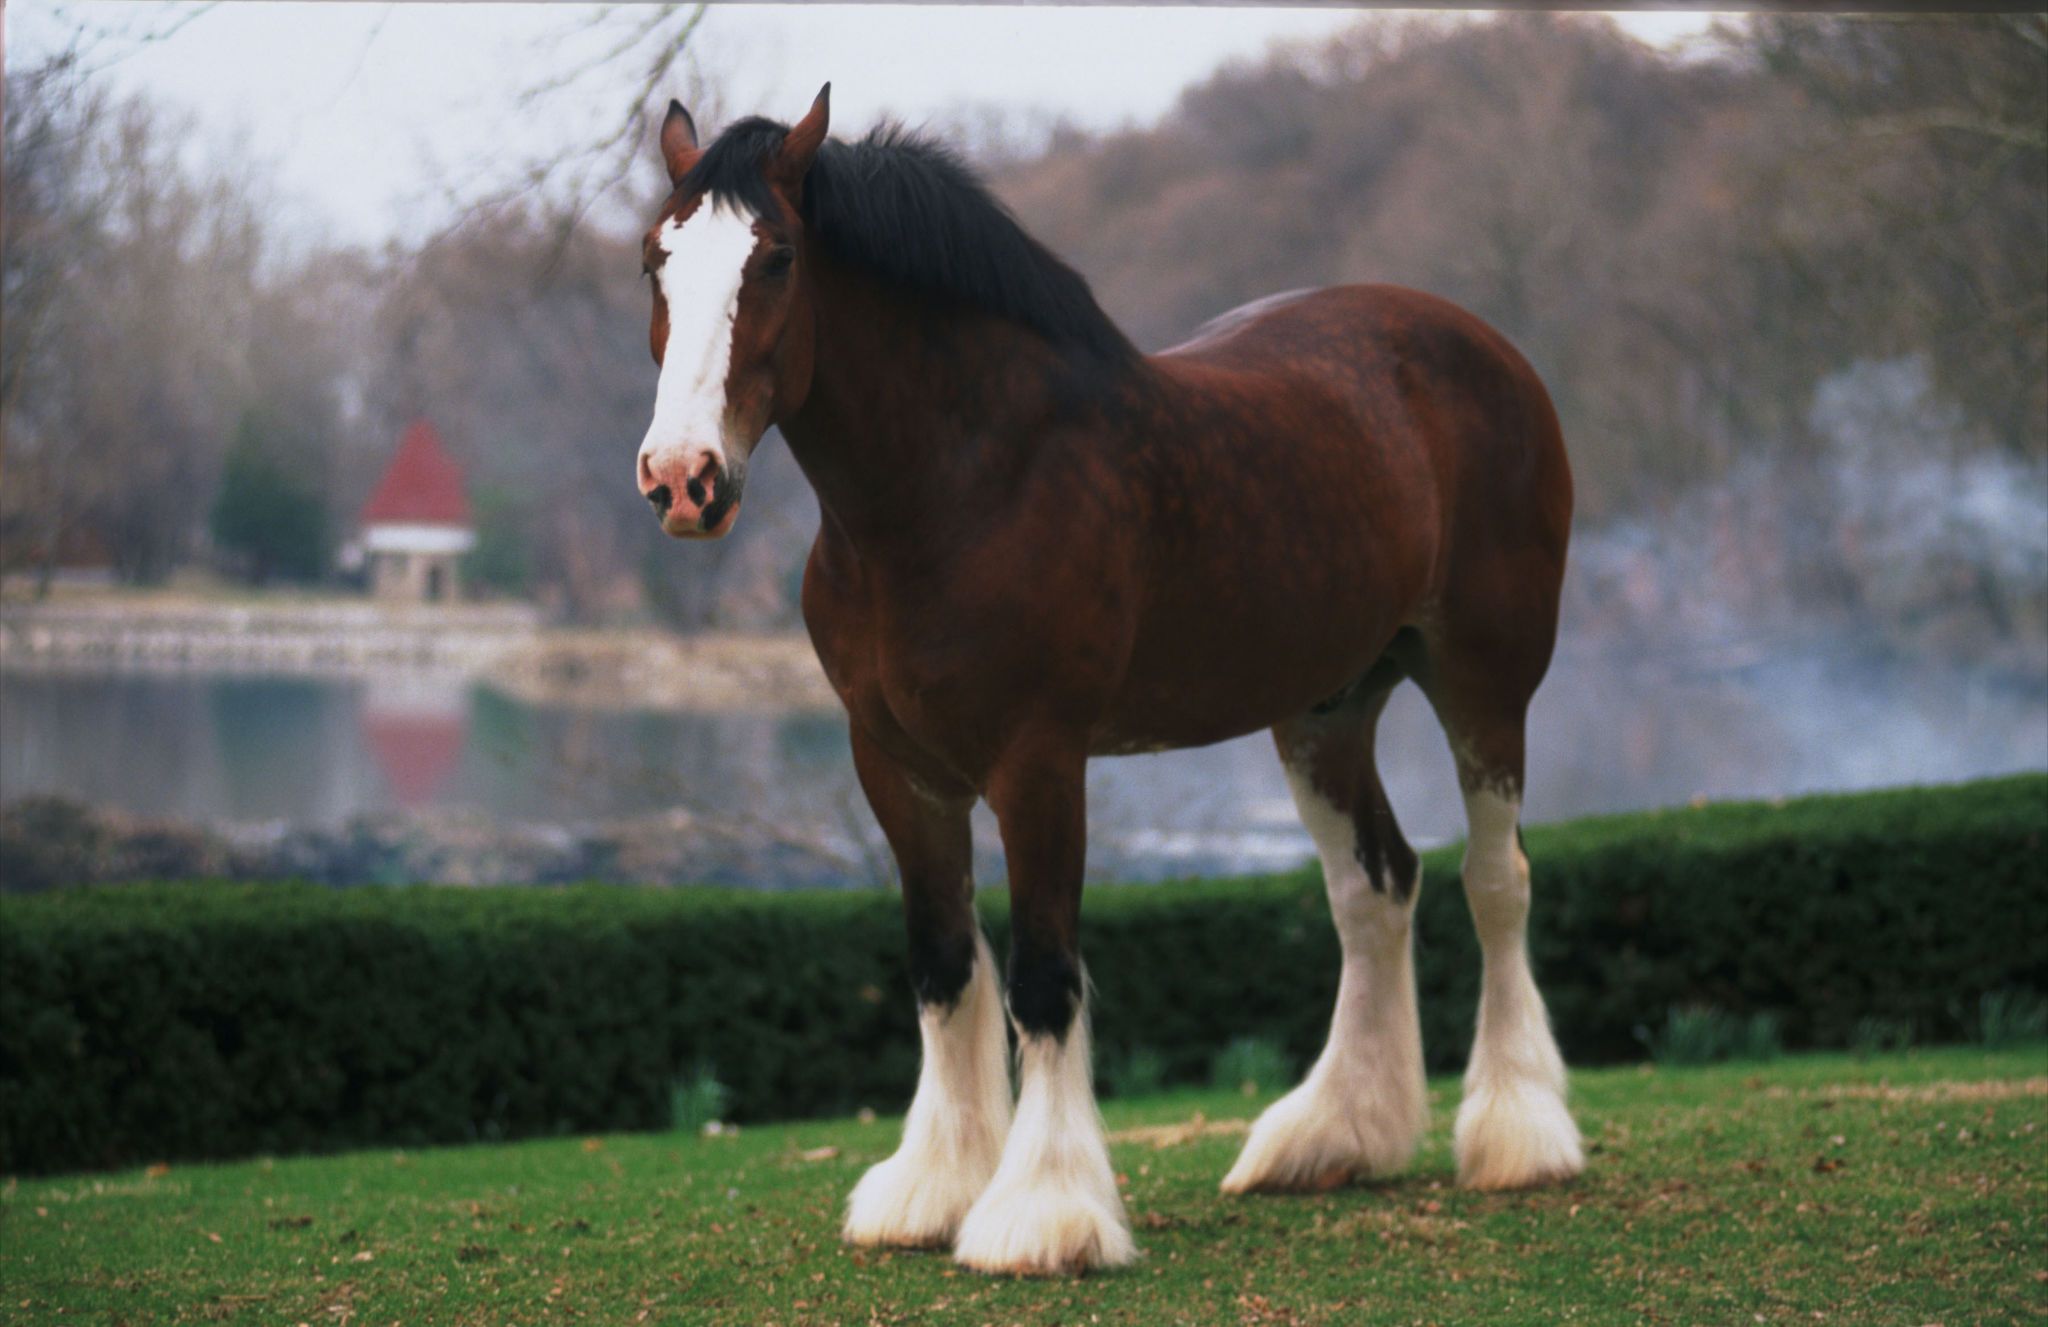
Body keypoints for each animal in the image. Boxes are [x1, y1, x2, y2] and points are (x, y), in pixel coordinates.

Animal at [633, 88, 1583, 1276]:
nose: (682, 479)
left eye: (776, 259)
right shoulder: (895, 764)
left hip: (1485, 681)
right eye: (654, 261)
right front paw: (931, 1187)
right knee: (1375, 886)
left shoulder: (1038, 760)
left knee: (1495, 880)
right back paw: (1332, 1135)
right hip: (1324, 710)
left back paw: (1517, 1132)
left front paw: (1041, 1211)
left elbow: (1043, 974)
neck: (962, 481)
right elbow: (943, 964)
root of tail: (1487, 348)